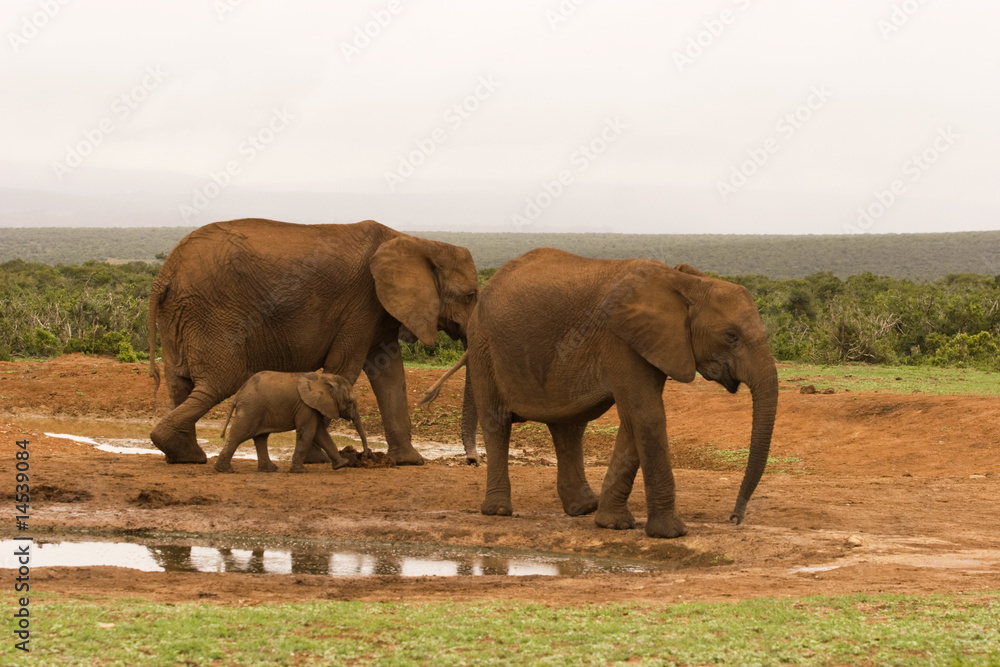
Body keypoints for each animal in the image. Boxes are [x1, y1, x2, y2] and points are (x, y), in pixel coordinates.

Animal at [215, 370, 372, 474]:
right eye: (350, 402)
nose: (365, 455)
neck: (323, 378)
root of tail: (238, 395)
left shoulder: (313, 406)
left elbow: (320, 433)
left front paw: (342, 465)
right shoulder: (305, 406)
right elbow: (308, 432)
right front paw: (300, 471)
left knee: (260, 438)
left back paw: (269, 470)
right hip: (251, 409)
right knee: (239, 434)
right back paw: (224, 470)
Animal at [426, 248, 776, 540]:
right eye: (731, 336)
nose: (734, 518)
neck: (686, 284)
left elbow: (634, 421)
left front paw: (613, 524)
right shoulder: (620, 339)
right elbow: (647, 415)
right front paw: (671, 534)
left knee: (567, 426)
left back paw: (583, 508)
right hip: (484, 345)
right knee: (498, 422)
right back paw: (499, 511)